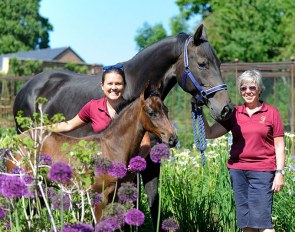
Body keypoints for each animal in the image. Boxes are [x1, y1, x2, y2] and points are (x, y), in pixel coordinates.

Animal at [7, 83, 178, 223]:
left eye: (166, 110)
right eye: (152, 112)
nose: (173, 139)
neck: (111, 147)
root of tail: (15, 141)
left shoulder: (116, 195)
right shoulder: (100, 195)